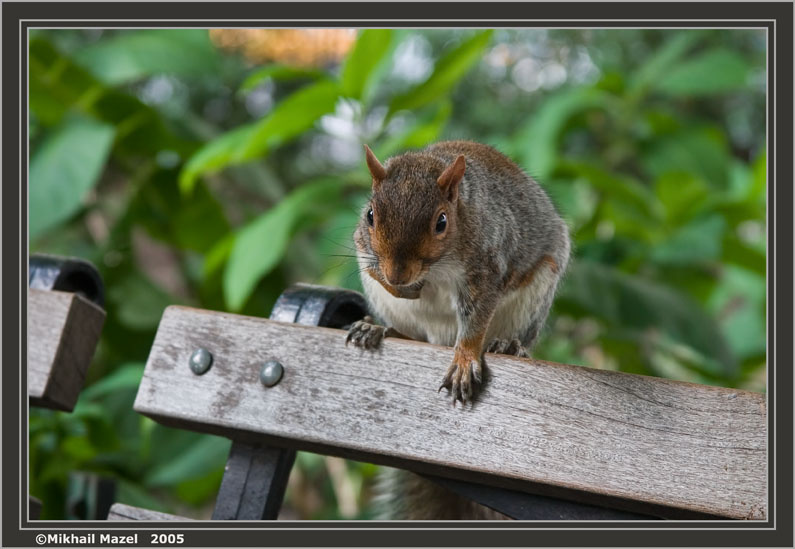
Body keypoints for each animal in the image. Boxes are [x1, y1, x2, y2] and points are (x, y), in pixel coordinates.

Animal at [345, 140, 571, 519]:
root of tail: (440, 339)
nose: (398, 273)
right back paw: (379, 329)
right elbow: (377, 271)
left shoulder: (487, 265)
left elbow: (475, 320)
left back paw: (509, 345)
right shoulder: (363, 247)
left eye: (441, 222)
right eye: (370, 215)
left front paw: (465, 361)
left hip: (536, 295)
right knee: (412, 333)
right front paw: (400, 289)